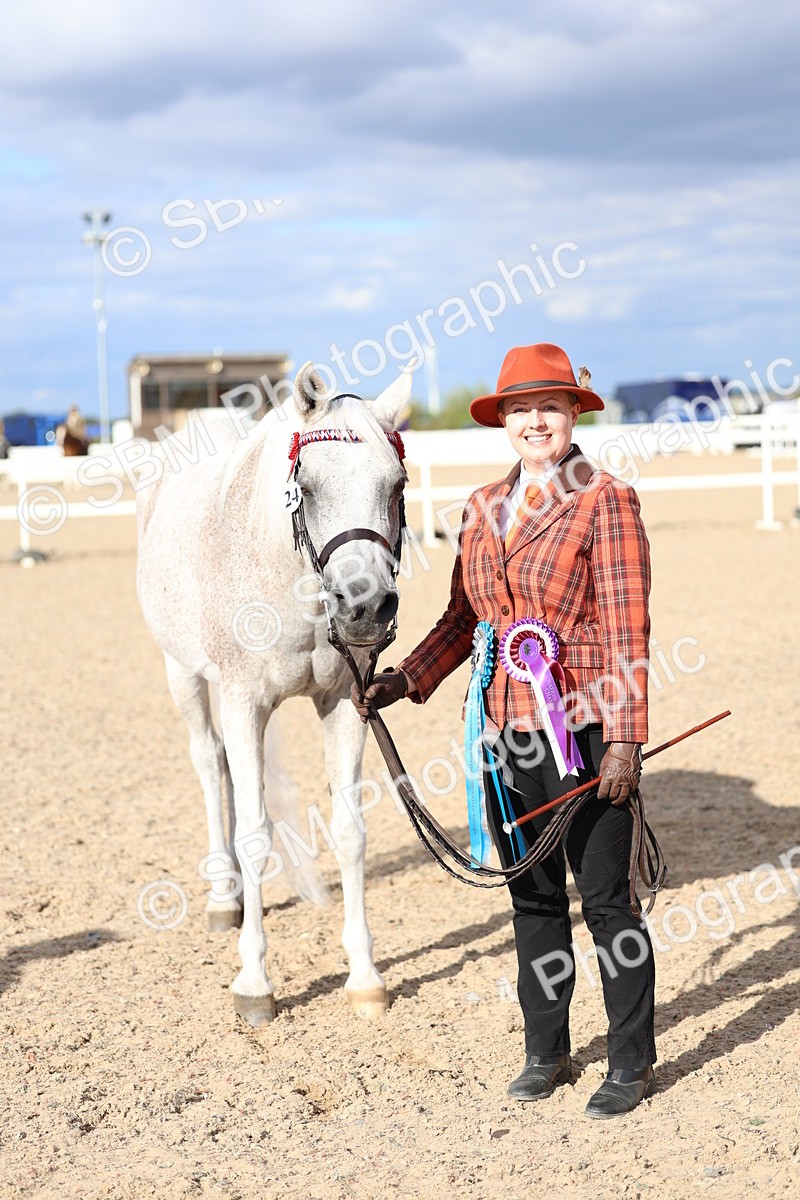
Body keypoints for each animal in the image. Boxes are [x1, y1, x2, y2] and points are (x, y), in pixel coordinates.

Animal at [136, 363, 411, 1025]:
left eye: (395, 485)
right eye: (306, 486)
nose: (366, 607)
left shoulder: (347, 704)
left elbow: (349, 832)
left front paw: (365, 978)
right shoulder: (243, 701)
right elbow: (255, 836)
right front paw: (254, 982)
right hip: (183, 673)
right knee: (209, 765)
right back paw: (222, 896)